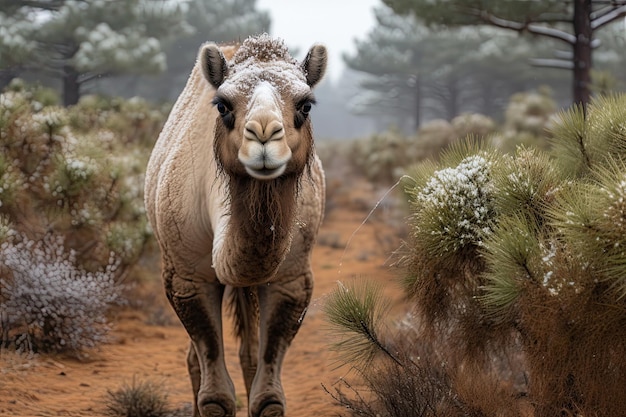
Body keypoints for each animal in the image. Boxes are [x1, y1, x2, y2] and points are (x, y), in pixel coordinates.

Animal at [142, 34, 326, 416]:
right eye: (223, 106)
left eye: (305, 105)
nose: (264, 134)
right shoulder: (187, 275)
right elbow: (215, 396)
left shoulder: (292, 278)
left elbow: (268, 397)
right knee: (195, 361)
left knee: (249, 355)